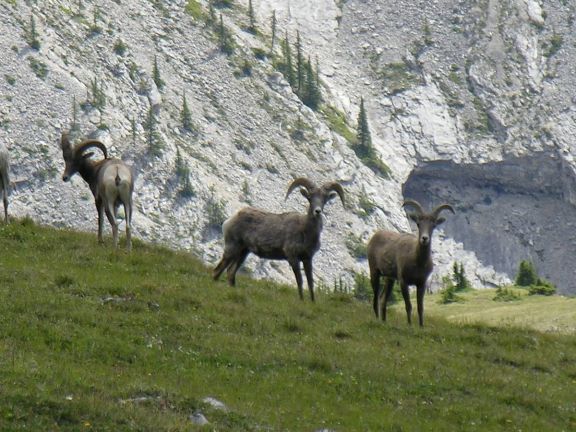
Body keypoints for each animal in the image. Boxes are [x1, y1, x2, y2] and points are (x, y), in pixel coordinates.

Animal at [213, 177, 344, 302]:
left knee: (230, 272)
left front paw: (312, 302)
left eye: (325, 199)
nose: (317, 211)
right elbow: (300, 280)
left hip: (243, 253)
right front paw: (301, 301)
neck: (305, 231)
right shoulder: (293, 258)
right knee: (218, 270)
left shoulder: (307, 259)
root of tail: (229, 220)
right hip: (232, 248)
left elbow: (310, 282)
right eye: (310, 198)